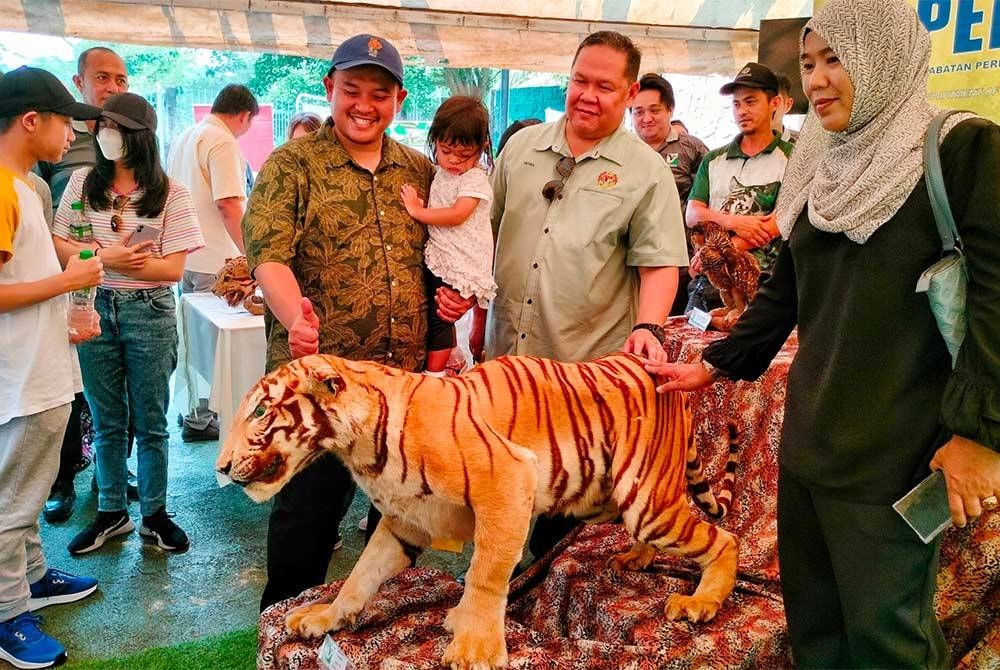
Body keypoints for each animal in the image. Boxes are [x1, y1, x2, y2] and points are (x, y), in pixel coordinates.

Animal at [215, 354, 740, 668]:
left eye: (260, 412)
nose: (220, 466)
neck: (357, 448)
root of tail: (662, 370)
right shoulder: (404, 521)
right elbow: (361, 576)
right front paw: (324, 616)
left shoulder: (508, 482)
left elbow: (486, 573)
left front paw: (474, 646)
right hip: (608, 498)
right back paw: (637, 559)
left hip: (646, 501)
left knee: (724, 539)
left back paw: (701, 602)